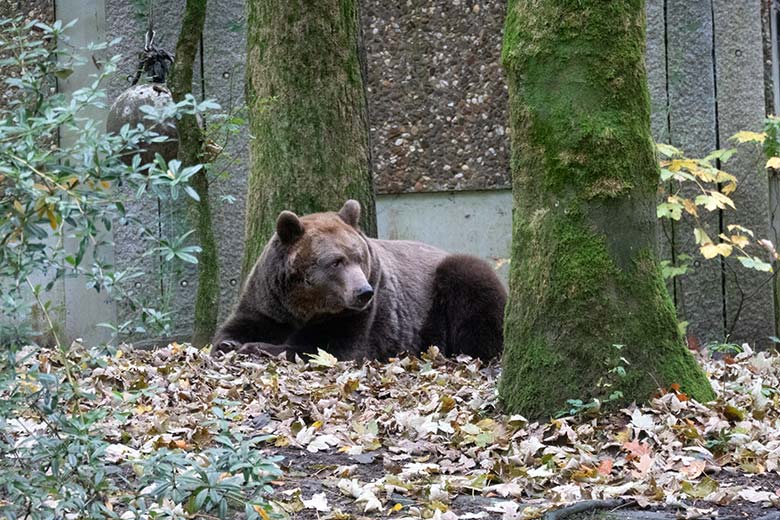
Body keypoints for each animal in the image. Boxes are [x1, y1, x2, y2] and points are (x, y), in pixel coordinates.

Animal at [212, 200, 506, 362]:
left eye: (359, 257)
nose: (363, 291)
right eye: (336, 261)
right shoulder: (268, 300)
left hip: (444, 287)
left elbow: (327, 349)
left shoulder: (355, 316)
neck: (304, 305)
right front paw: (230, 343)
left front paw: (255, 347)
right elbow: (234, 328)